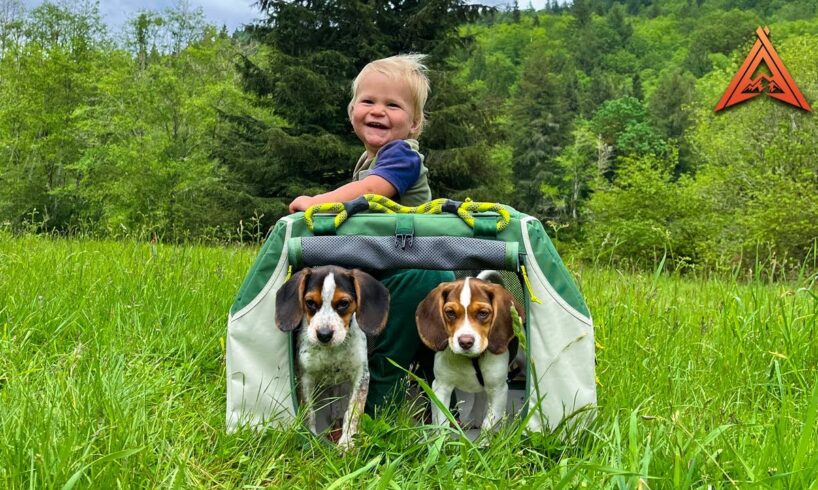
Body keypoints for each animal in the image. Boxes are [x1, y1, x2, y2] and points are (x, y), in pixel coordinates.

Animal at [274, 266, 388, 450]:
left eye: (343, 303)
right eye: (310, 302)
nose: (324, 335)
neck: (332, 351)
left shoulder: (361, 375)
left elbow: (353, 411)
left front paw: (347, 443)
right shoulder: (305, 376)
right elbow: (309, 411)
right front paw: (312, 438)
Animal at [414, 276, 524, 432]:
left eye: (483, 313)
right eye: (450, 313)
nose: (465, 342)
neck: (470, 359)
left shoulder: (498, 390)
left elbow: (488, 426)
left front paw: (486, 438)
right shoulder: (441, 386)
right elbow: (442, 422)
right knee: (480, 396)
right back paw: (474, 419)